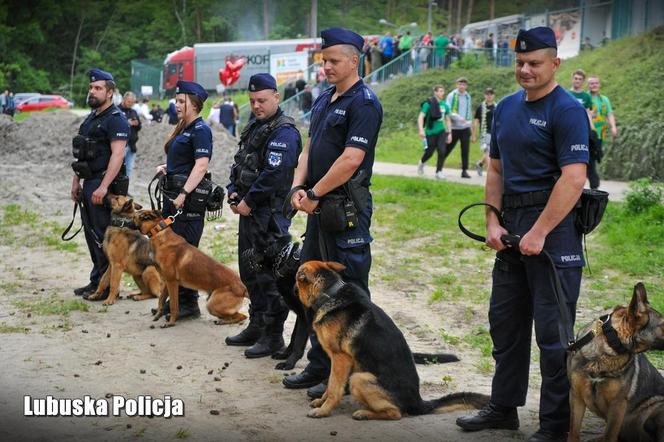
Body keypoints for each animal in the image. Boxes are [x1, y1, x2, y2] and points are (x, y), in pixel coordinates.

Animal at [294, 260, 488, 420]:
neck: (330, 293)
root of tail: (418, 403)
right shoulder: (337, 362)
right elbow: (330, 385)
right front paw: (321, 401)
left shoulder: (340, 359)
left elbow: (334, 389)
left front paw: (323, 410)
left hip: (359, 379)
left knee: (396, 413)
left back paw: (364, 414)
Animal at [564, 284, 664, 442]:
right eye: (663, 325)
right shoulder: (576, 397)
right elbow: (574, 432)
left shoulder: (618, 406)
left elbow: (610, 435)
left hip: (656, 409)